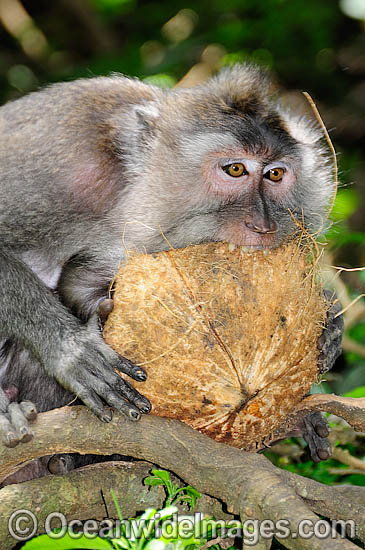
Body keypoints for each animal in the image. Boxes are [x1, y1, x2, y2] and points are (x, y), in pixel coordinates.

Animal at [0, 62, 342, 472]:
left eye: (275, 174)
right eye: (235, 169)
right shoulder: (62, 159)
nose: (263, 225)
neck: (129, 184)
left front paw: (329, 329)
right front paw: (73, 351)